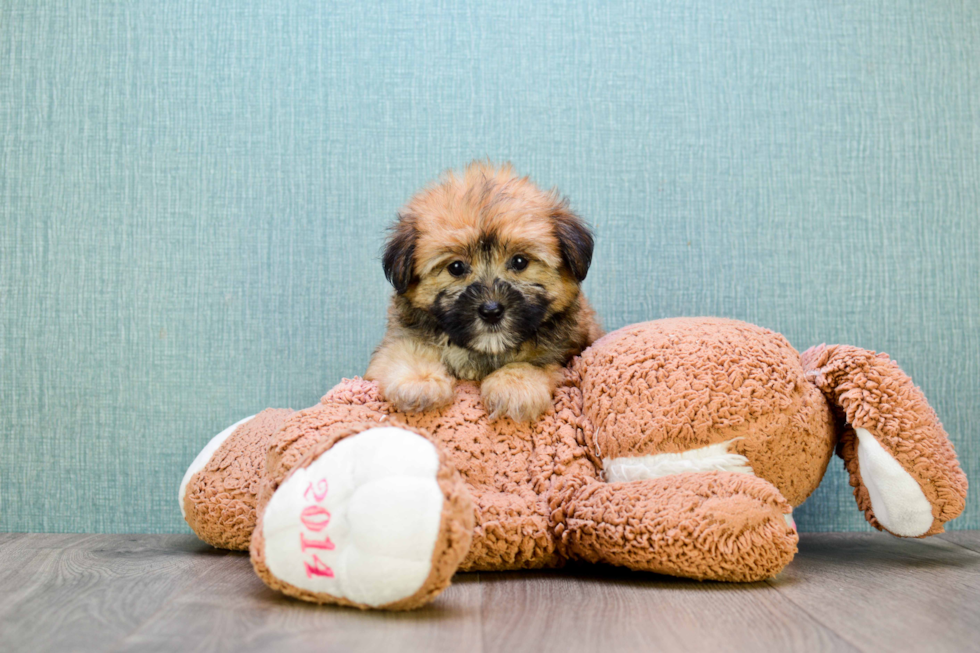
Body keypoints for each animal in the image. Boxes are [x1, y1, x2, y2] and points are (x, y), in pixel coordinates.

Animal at [364, 160, 600, 420]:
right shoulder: (399, 339)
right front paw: (419, 381)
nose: (491, 311)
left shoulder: (564, 356)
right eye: (456, 267)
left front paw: (515, 386)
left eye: (519, 262)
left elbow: (532, 363)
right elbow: (401, 351)